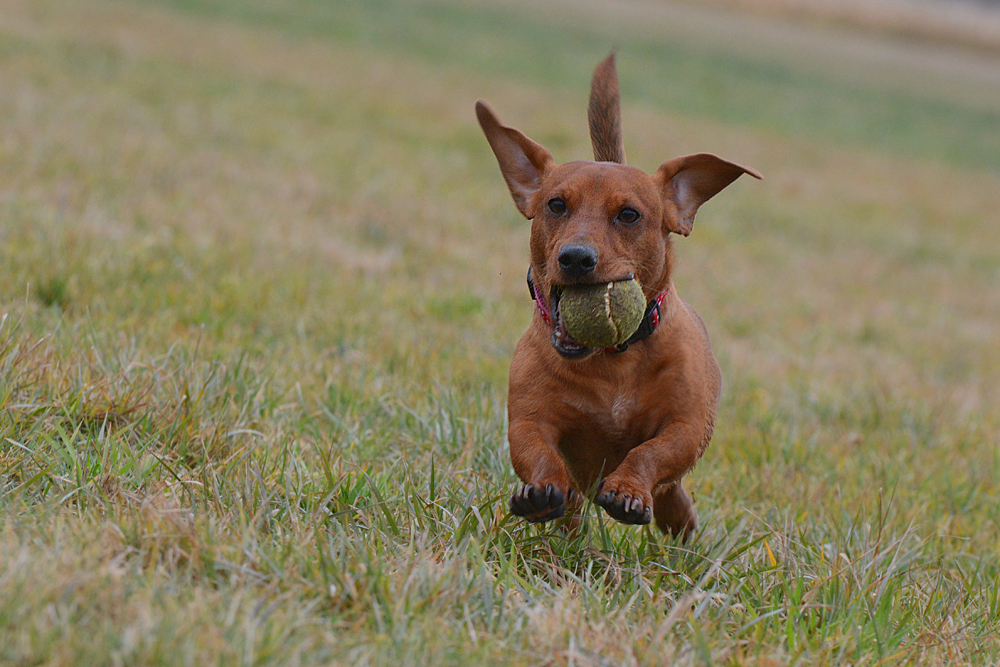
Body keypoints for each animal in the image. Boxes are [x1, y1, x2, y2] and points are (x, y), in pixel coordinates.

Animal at [474, 54, 756, 540]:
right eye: (555, 205)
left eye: (629, 215)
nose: (575, 257)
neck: (611, 361)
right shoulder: (529, 422)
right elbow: (538, 454)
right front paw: (540, 493)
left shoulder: (686, 427)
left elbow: (651, 453)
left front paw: (627, 491)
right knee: (572, 510)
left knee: (673, 500)